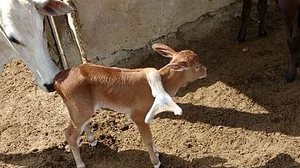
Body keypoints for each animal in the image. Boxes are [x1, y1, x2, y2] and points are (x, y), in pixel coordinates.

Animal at [54, 43, 207, 168]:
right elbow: (148, 140)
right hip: (79, 109)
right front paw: (156, 162)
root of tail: (58, 79)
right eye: (196, 66)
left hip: (83, 109)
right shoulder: (138, 116)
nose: (206, 70)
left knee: (82, 125)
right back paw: (80, 164)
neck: (163, 83)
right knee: (69, 134)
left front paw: (157, 154)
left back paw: (93, 140)